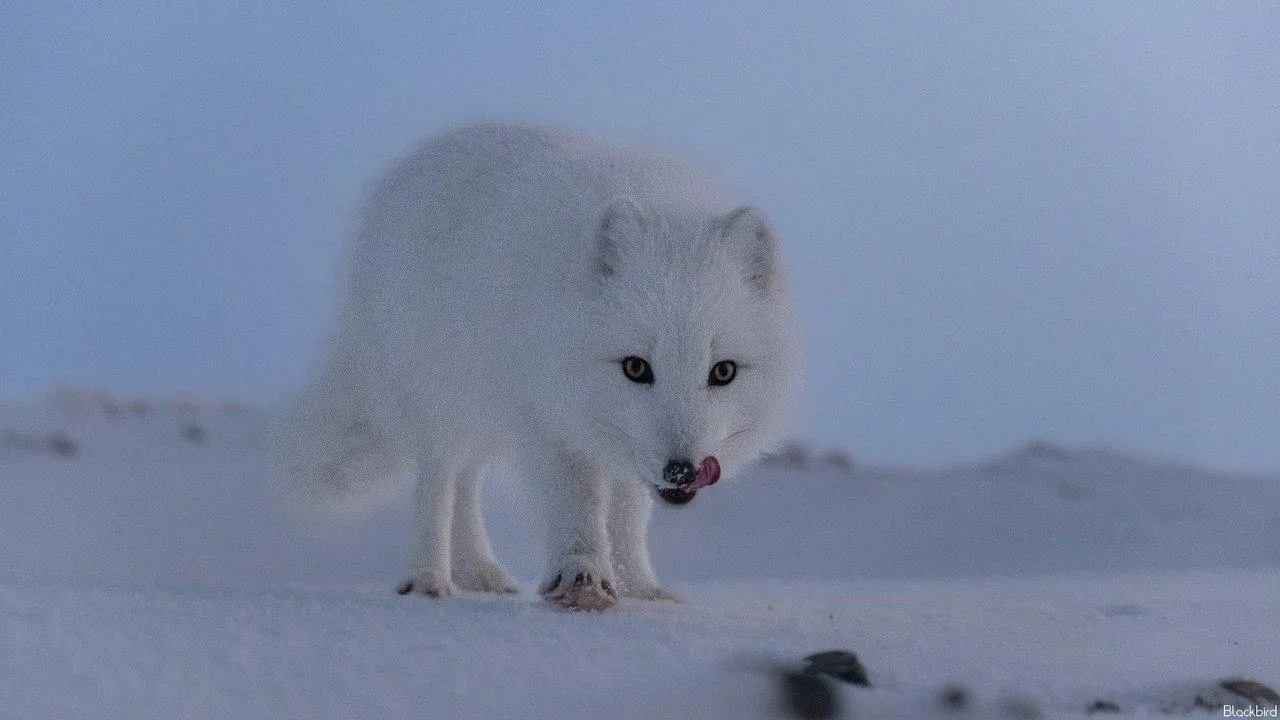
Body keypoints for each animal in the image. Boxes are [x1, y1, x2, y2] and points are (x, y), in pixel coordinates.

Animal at [267, 121, 798, 604]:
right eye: (636, 368)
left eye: (723, 372)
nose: (682, 472)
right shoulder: (549, 424)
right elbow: (579, 505)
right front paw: (582, 575)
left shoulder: (621, 447)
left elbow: (628, 516)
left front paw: (640, 587)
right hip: (441, 402)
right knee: (438, 481)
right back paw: (429, 579)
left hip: (486, 414)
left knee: (468, 480)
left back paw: (479, 570)